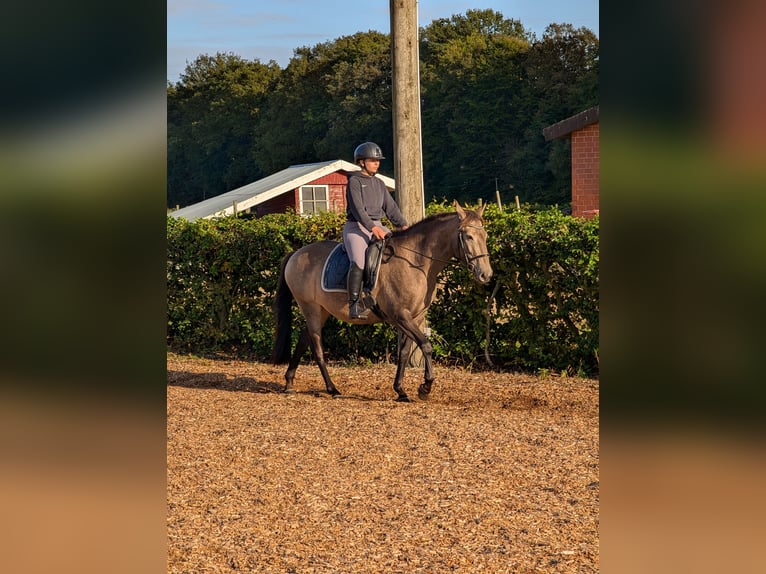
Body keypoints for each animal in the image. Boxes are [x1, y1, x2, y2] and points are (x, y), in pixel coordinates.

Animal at [271, 201, 492, 402]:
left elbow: (404, 352)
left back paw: (289, 382)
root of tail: (296, 253)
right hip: (310, 308)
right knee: (317, 348)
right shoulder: (401, 316)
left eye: (485, 236)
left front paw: (401, 391)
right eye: (468, 236)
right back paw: (332, 389)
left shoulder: (415, 317)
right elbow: (426, 344)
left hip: (321, 310)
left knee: (304, 339)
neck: (416, 262)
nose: (486, 274)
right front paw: (425, 387)